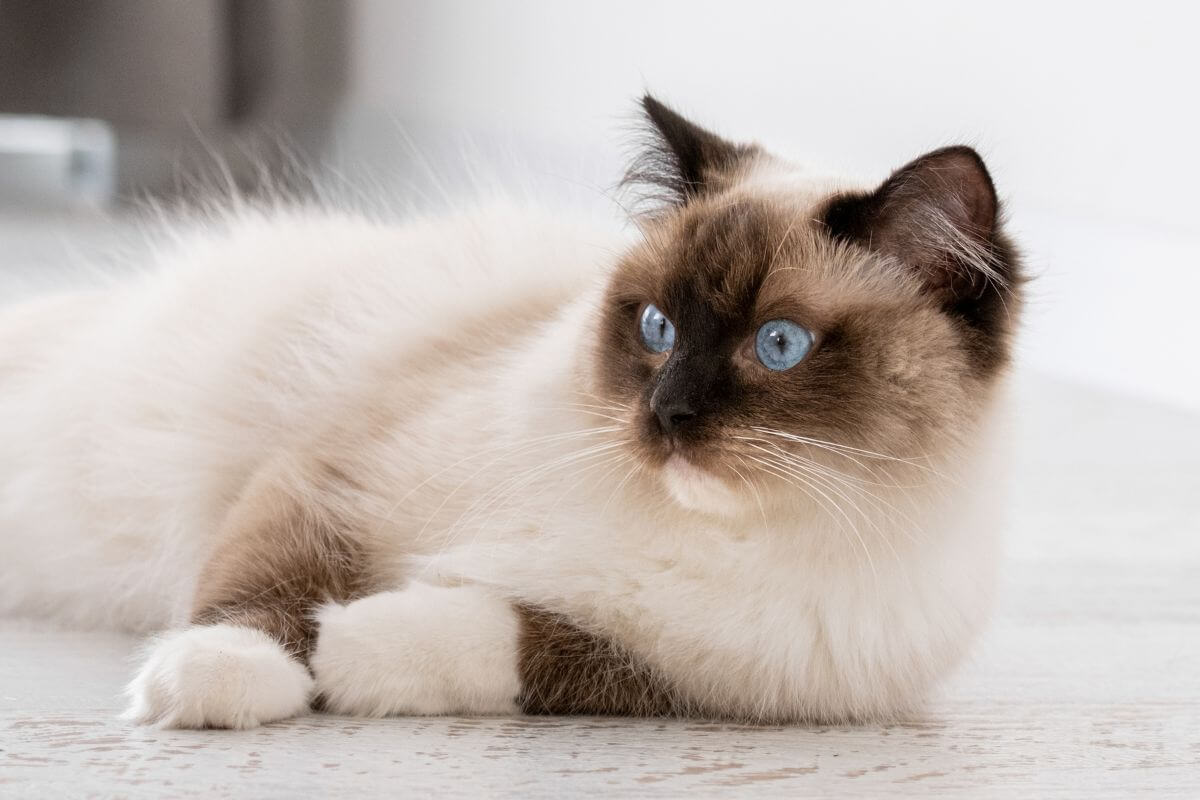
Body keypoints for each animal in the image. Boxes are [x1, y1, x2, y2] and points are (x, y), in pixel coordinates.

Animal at [0, 97, 1022, 729]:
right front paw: (227, 674)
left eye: (777, 345)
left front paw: (350, 651)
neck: (704, 529)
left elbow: (512, 634)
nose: (666, 415)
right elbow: (261, 594)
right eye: (656, 327)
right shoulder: (328, 476)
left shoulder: (689, 673)